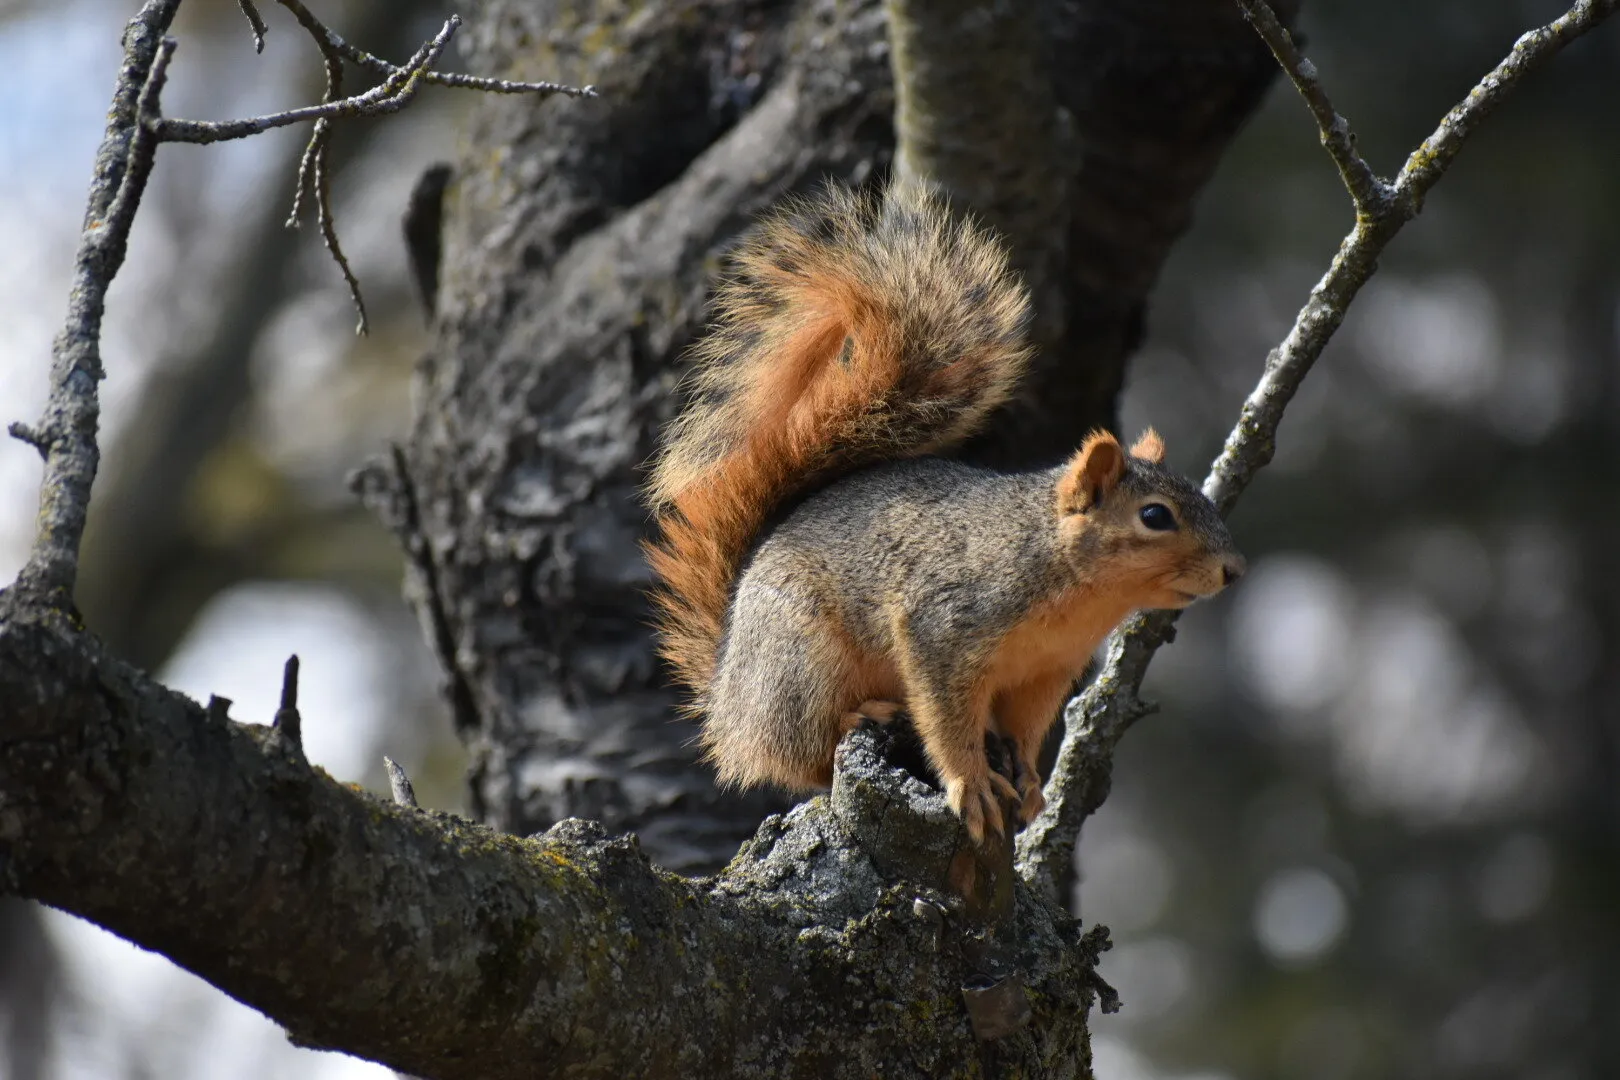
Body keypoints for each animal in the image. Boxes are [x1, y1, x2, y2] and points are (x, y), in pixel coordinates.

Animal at [645, 180, 1245, 843]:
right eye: (1156, 517)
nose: (1234, 570)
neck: (1072, 587)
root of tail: (725, 695)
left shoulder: (1045, 673)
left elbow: (1025, 730)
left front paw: (1028, 783)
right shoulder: (943, 627)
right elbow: (946, 720)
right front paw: (972, 784)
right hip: (800, 660)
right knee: (795, 752)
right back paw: (862, 714)